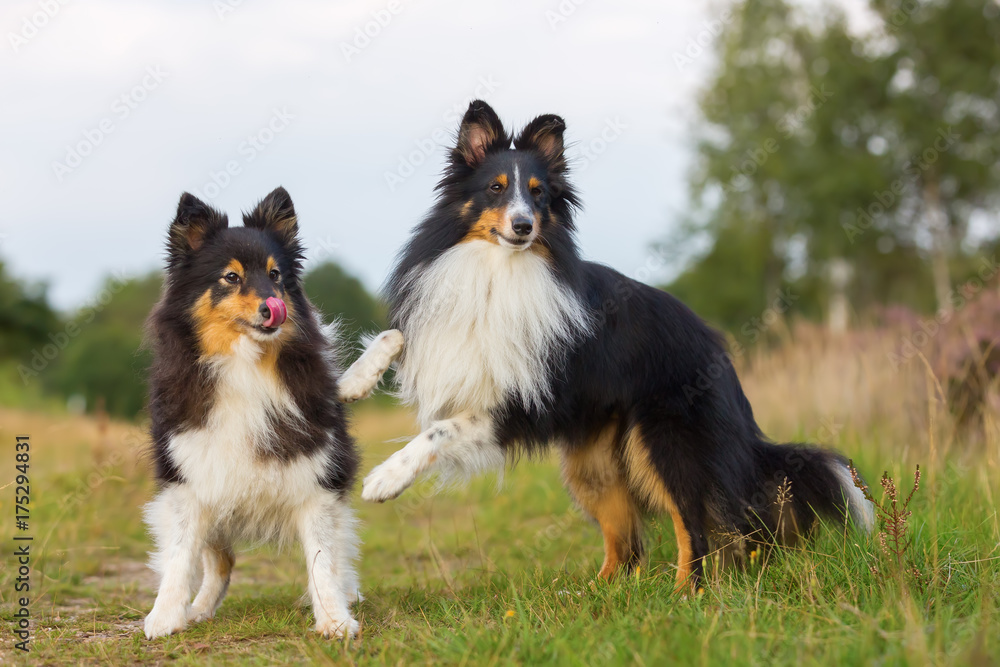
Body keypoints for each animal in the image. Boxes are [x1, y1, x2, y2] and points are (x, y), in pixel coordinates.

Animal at [142, 188, 406, 640]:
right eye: (231, 277)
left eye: (276, 275)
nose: (274, 306)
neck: (246, 363)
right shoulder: (190, 475)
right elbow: (179, 553)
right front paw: (164, 617)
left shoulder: (317, 474)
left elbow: (322, 558)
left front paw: (334, 620)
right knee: (220, 561)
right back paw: (198, 610)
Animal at [362, 100, 876, 588]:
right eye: (495, 187)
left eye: (538, 193)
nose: (524, 226)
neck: (501, 268)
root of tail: (721, 353)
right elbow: (399, 338)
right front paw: (364, 374)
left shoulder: (520, 403)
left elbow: (440, 430)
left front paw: (384, 479)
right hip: (593, 464)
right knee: (627, 545)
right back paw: (592, 594)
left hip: (667, 442)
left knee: (695, 529)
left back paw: (685, 595)